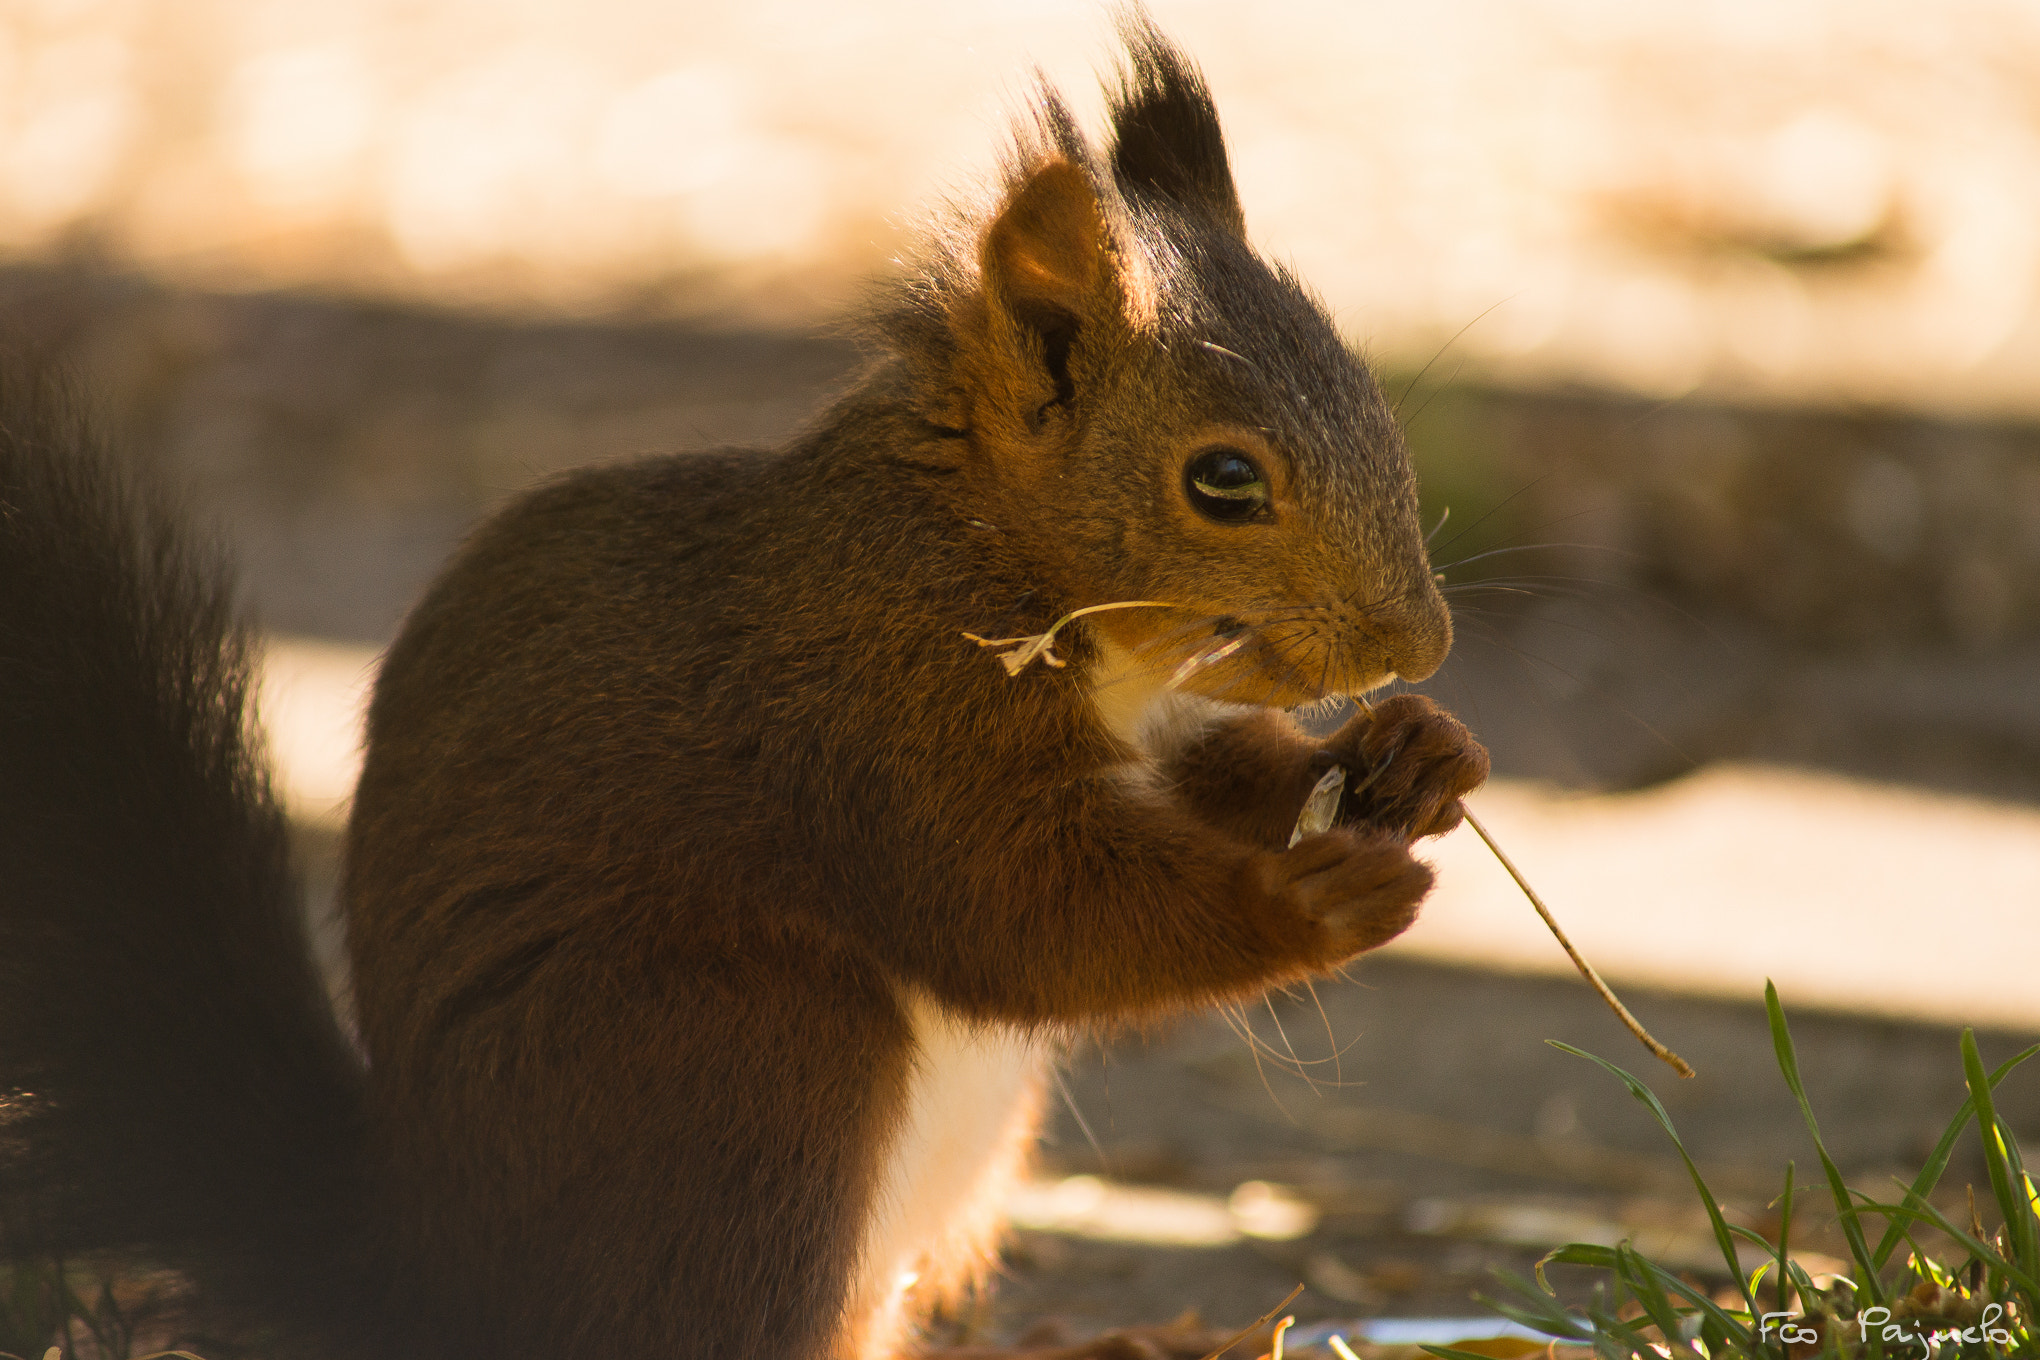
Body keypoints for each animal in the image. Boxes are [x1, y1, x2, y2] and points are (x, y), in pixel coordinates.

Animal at [0, 18, 1489, 1360]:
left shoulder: (1170, 726)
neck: (998, 553)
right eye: (1223, 480)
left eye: (1370, 395)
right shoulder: (877, 710)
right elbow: (1016, 915)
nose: (1419, 643)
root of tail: (424, 1274)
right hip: (752, 1075)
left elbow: (1231, 779)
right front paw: (1311, 900)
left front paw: (1417, 756)